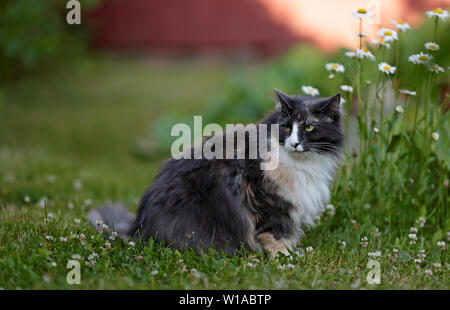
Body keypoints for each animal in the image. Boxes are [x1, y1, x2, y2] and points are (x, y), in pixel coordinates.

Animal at [88, 89, 342, 256]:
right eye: (287, 127)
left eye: (309, 127)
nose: (294, 143)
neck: (301, 164)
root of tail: (138, 228)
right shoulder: (269, 204)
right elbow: (275, 237)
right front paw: (285, 260)